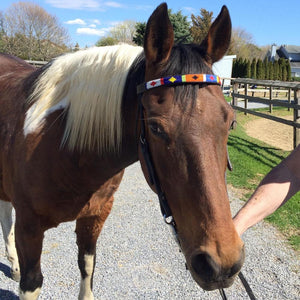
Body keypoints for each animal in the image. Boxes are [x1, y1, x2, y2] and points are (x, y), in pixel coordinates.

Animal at [0, 2, 244, 300]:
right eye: (155, 128)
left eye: (230, 121)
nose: (221, 264)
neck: (65, 150)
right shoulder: (29, 228)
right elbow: (32, 281)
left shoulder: (95, 216)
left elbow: (87, 265)